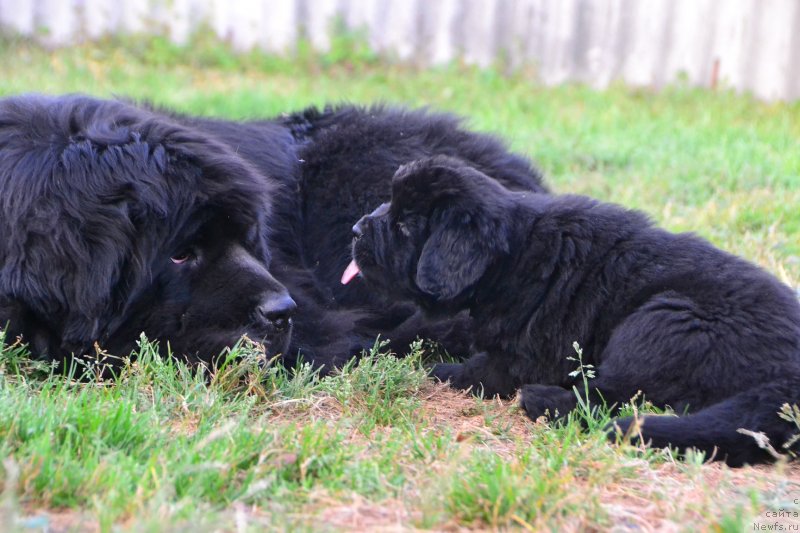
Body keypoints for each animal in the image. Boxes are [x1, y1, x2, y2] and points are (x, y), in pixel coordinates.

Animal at [346, 155, 800, 466]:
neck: (512, 256)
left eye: (404, 225)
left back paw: (545, 401)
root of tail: (788, 379)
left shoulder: (530, 355)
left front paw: (437, 369)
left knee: (615, 395)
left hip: (662, 320)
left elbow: (479, 369)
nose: (354, 230)